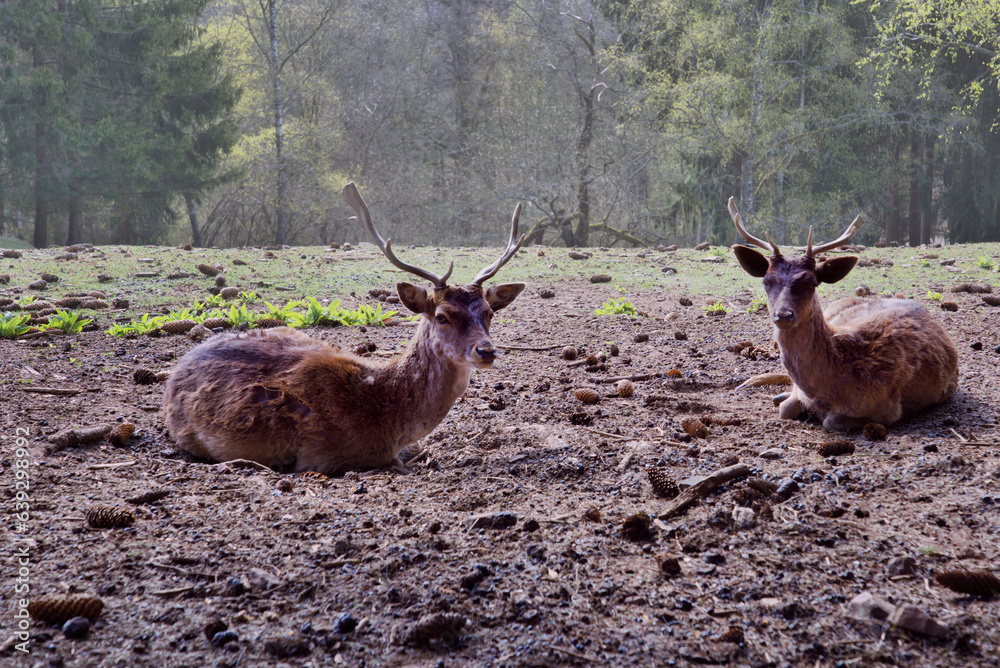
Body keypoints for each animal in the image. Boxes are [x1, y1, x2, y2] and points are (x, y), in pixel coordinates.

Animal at [163, 183, 526, 475]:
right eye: (442, 316)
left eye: (489, 312)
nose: (486, 350)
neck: (384, 414)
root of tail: (178, 367)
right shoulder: (322, 455)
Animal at [728, 197, 958, 431]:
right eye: (766, 281)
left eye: (812, 283)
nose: (783, 315)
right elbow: (787, 408)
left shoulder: (887, 409)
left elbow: (830, 421)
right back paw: (750, 383)